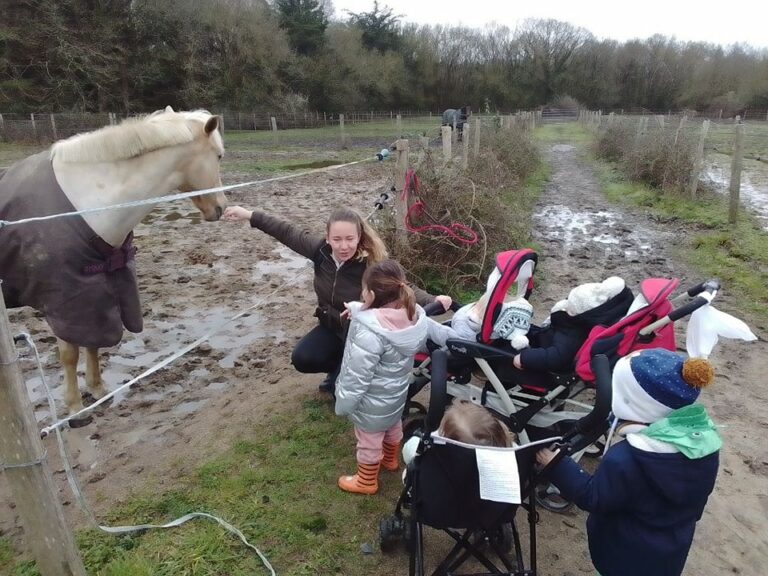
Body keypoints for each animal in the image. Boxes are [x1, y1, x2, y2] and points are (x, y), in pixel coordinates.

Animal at [0, 108, 226, 424]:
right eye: (218, 155)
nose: (221, 207)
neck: (92, 202)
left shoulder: (95, 294)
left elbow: (93, 343)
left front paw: (97, 390)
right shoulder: (63, 302)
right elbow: (69, 354)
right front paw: (75, 409)